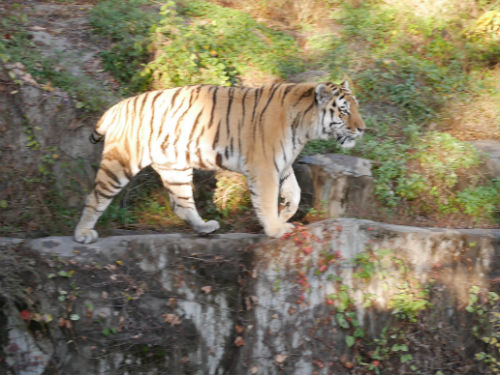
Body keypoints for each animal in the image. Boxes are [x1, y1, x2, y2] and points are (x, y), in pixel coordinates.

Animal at [73, 81, 364, 244]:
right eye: (344, 110)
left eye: (356, 107)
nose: (362, 129)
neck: (304, 126)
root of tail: (118, 106)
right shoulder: (264, 167)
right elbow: (267, 199)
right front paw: (275, 228)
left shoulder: (281, 162)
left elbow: (295, 192)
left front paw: (283, 215)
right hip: (120, 162)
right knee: (94, 196)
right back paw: (83, 234)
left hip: (175, 168)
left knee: (181, 203)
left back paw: (204, 227)